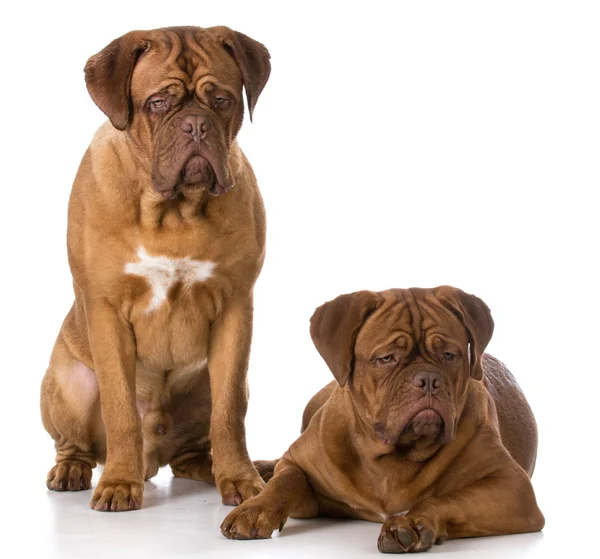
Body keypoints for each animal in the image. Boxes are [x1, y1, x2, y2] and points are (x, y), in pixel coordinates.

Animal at [42, 28, 274, 516]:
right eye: (158, 103)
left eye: (221, 100)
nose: (196, 125)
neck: (175, 211)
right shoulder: (107, 312)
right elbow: (120, 411)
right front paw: (118, 483)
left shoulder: (235, 309)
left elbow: (229, 415)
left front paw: (241, 480)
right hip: (67, 382)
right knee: (74, 443)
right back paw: (72, 470)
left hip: (214, 384)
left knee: (197, 444)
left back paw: (232, 468)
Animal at [223, 286, 548, 552]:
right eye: (387, 358)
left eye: (449, 355)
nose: (428, 379)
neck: (392, 455)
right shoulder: (302, 471)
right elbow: (286, 481)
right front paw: (255, 509)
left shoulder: (512, 487)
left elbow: (446, 499)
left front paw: (412, 524)